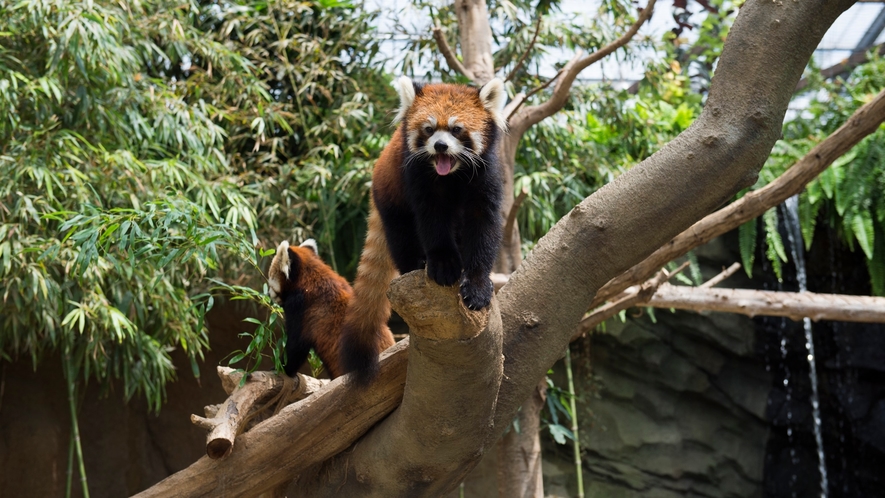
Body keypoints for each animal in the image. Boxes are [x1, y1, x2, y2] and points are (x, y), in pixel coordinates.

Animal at [338, 77, 504, 386]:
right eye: (428, 129)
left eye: (456, 129)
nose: (439, 146)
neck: (453, 175)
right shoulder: (417, 179)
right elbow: (432, 222)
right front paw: (443, 266)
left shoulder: (486, 177)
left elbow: (483, 228)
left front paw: (477, 286)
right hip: (390, 197)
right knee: (401, 236)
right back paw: (415, 265)